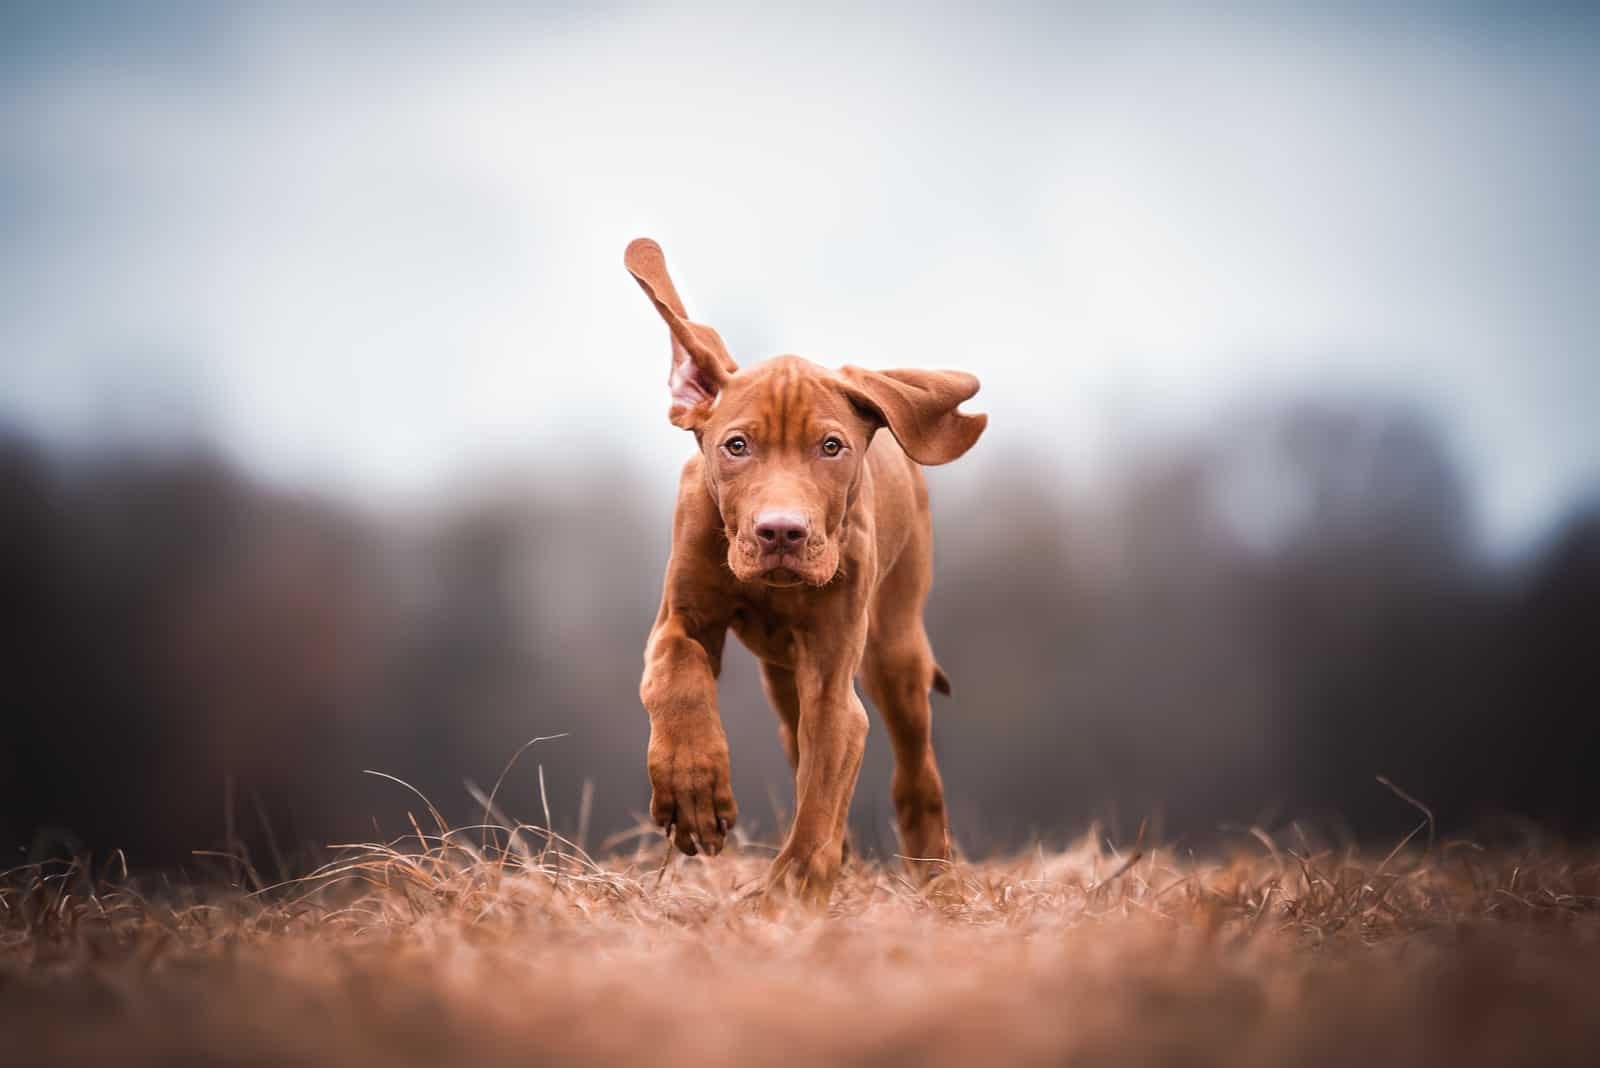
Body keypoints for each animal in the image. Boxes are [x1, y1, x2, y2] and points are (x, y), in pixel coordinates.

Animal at [627, 238, 985, 908]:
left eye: (831, 447)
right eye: (736, 446)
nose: (781, 533)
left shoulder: (832, 679)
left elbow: (822, 792)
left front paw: (789, 891)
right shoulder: (681, 617)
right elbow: (677, 671)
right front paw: (693, 788)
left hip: (894, 646)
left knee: (913, 768)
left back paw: (934, 875)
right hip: (782, 673)